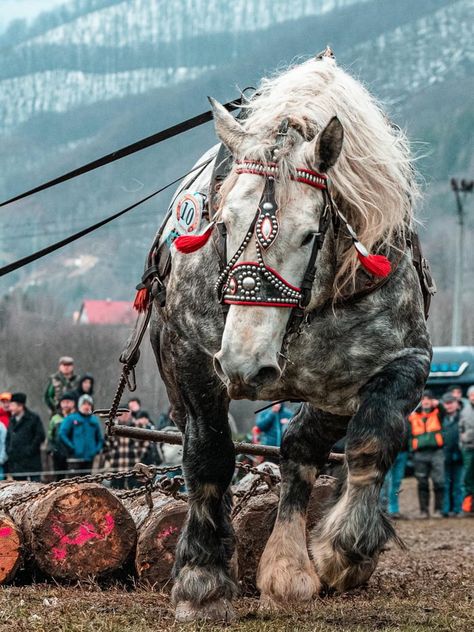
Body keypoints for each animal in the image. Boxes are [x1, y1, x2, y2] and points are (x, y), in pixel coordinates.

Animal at [147, 50, 434, 624]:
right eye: (224, 223)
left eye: (309, 234)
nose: (244, 364)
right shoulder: (192, 357)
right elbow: (208, 455)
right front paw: (202, 579)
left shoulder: (406, 361)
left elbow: (372, 442)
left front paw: (343, 551)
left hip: (329, 393)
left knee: (301, 448)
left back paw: (288, 568)